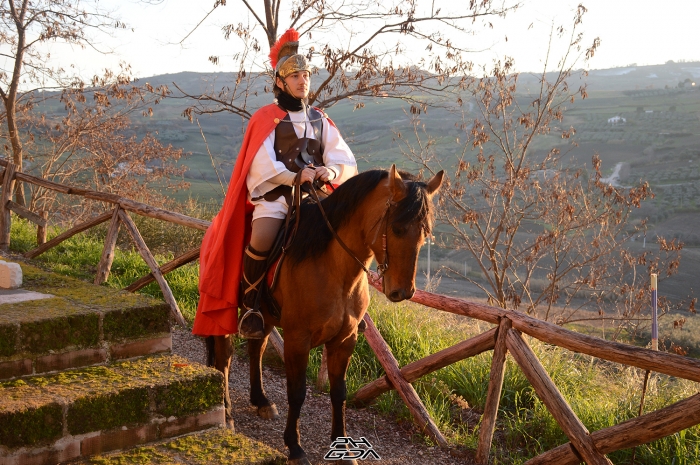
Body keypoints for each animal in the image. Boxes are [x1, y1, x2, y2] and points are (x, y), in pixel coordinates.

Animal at [205, 165, 442, 462]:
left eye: (425, 232)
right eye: (397, 228)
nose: (403, 291)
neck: (335, 269)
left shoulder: (345, 339)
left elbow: (339, 392)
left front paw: (344, 447)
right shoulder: (297, 340)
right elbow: (297, 392)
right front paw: (294, 446)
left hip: (264, 317)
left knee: (255, 349)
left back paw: (261, 400)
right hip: (222, 309)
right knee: (224, 358)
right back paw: (225, 411)